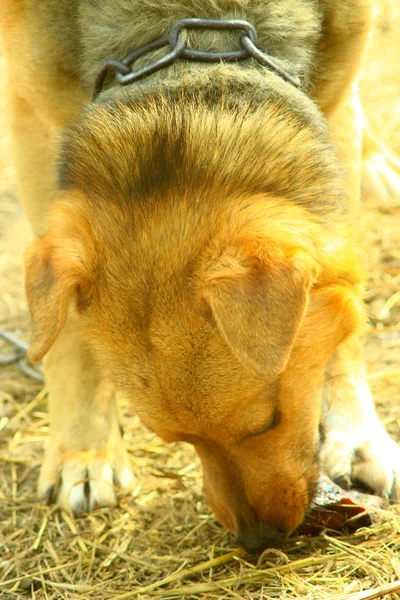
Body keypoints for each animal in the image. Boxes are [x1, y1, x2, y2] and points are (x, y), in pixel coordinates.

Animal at [0, 0, 400, 552]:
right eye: (176, 438)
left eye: (268, 422)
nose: (258, 539)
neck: (203, 29)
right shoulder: (34, 113)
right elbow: (67, 343)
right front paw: (84, 452)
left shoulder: (332, 102)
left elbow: (346, 309)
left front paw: (355, 434)